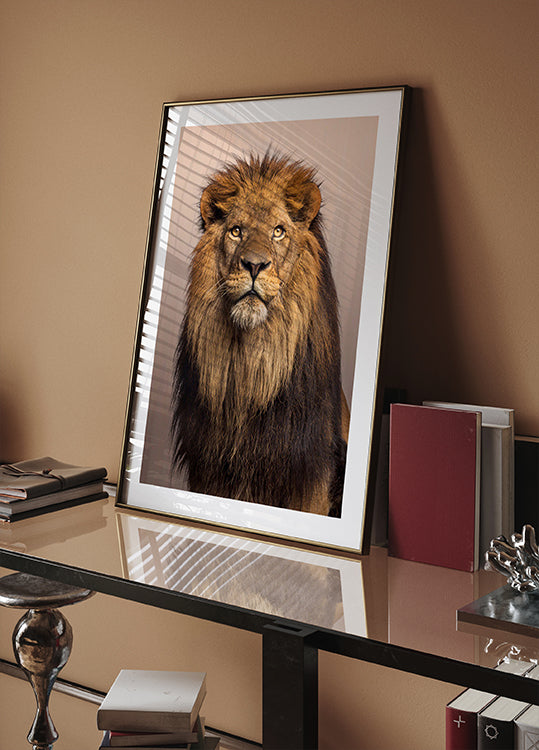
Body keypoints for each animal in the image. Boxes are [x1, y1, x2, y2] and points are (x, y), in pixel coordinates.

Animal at [171, 153, 348, 516]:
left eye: (278, 231)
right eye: (236, 231)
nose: (254, 265)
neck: (251, 364)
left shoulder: (309, 480)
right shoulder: (208, 472)